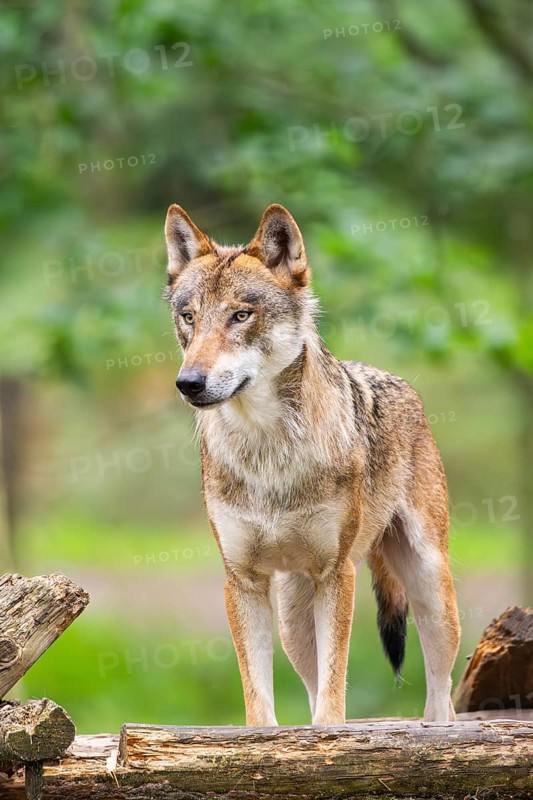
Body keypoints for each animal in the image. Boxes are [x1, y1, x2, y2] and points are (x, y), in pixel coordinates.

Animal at [164, 202, 460, 726]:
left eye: (241, 315)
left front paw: (332, 737)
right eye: (189, 318)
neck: (269, 452)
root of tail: (400, 381)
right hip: (292, 621)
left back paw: (435, 728)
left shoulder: (336, 574)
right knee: (308, 683)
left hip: (431, 588)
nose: (189, 383)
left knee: (442, 690)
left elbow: (333, 695)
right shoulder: (242, 580)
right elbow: (260, 702)